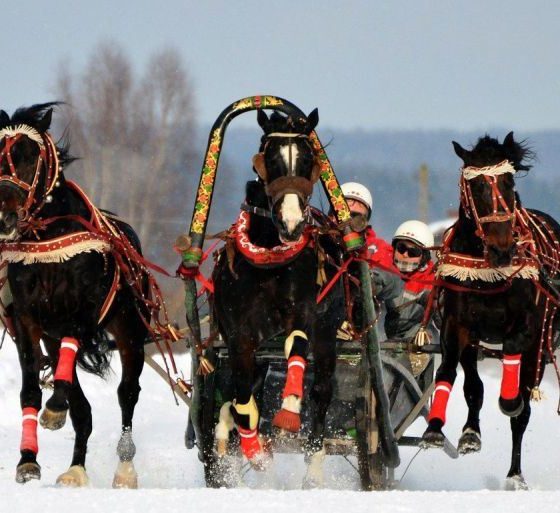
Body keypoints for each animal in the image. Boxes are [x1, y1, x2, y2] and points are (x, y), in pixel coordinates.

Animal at [420, 132, 560, 488]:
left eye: (509, 182)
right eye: (477, 185)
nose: (502, 249)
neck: (487, 273)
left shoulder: (529, 323)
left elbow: (513, 347)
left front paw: (509, 400)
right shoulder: (457, 324)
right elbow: (451, 373)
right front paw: (436, 429)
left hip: (543, 343)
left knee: (522, 408)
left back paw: (515, 473)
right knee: (473, 384)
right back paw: (471, 431)